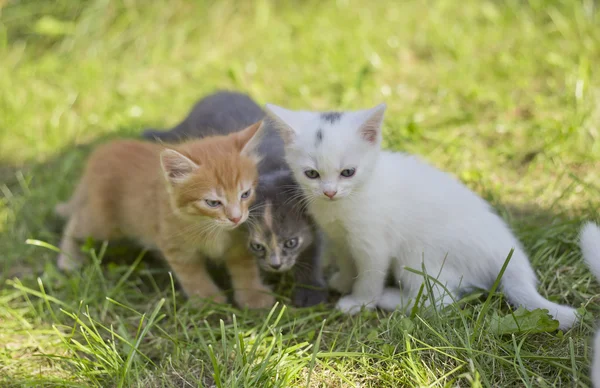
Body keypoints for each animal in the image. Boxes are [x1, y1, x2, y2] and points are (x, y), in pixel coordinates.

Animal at [55, 121, 274, 310]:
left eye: (245, 194)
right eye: (213, 203)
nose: (236, 218)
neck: (210, 227)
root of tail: (102, 151)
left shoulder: (239, 242)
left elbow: (245, 268)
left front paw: (253, 295)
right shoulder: (175, 246)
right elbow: (192, 275)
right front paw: (207, 299)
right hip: (102, 223)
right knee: (75, 222)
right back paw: (68, 259)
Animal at [142, 91, 328, 306]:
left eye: (291, 243)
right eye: (257, 246)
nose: (275, 266)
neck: (272, 169)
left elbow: (314, 250)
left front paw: (310, 291)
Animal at [268, 103, 600, 330]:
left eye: (347, 172)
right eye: (311, 174)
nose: (329, 192)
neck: (345, 205)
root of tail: (510, 254)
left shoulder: (373, 243)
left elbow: (370, 274)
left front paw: (359, 302)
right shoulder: (339, 237)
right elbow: (349, 262)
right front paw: (342, 280)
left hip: (416, 255)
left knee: (442, 301)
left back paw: (391, 299)